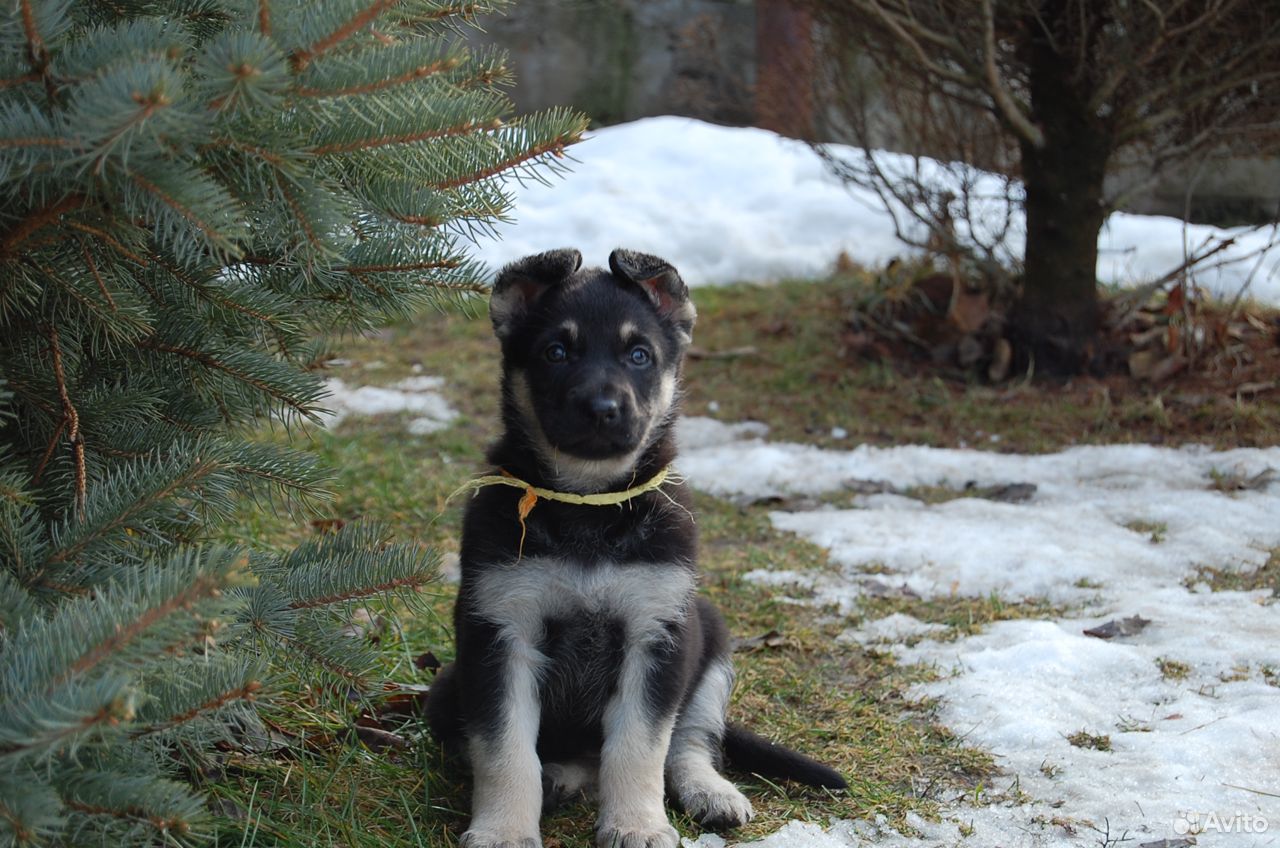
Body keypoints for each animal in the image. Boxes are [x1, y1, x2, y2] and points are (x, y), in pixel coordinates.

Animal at [430, 247, 844, 848]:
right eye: (556, 351)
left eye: (639, 355)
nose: (602, 408)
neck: (589, 508)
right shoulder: (500, 632)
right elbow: (505, 748)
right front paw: (504, 830)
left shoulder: (657, 633)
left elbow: (639, 747)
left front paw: (638, 825)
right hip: (446, 689)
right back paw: (559, 778)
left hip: (708, 637)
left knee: (689, 742)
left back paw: (709, 792)